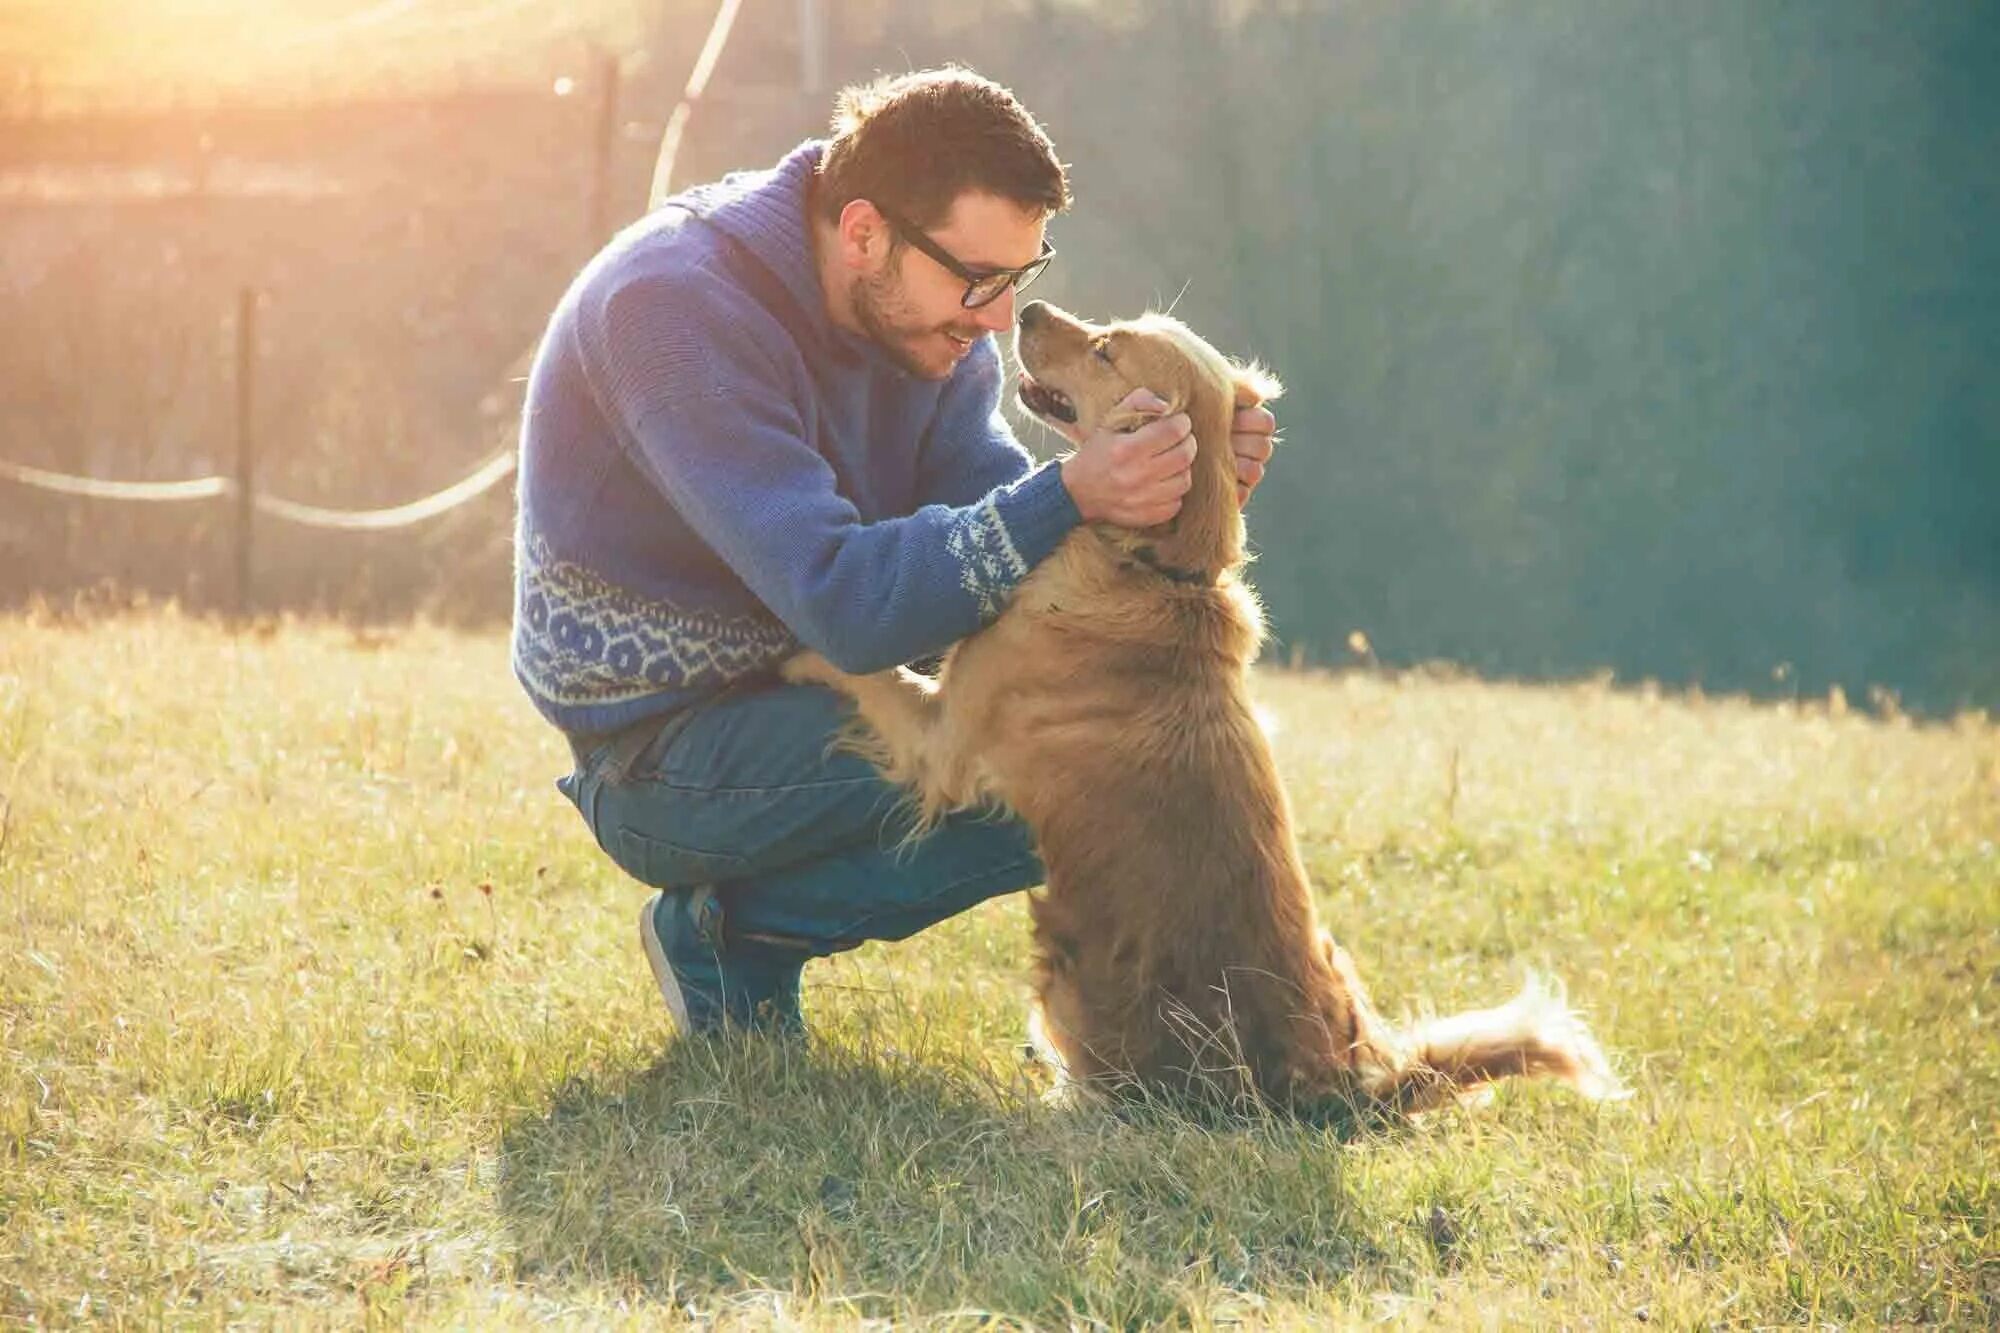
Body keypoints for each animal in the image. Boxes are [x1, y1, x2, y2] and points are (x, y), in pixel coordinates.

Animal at [780, 298, 1624, 1112]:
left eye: (1105, 350)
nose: (1026, 309)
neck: (1151, 566)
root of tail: (1348, 1084)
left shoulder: (943, 743)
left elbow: (869, 672)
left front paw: (786, 645)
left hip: (1070, 979)